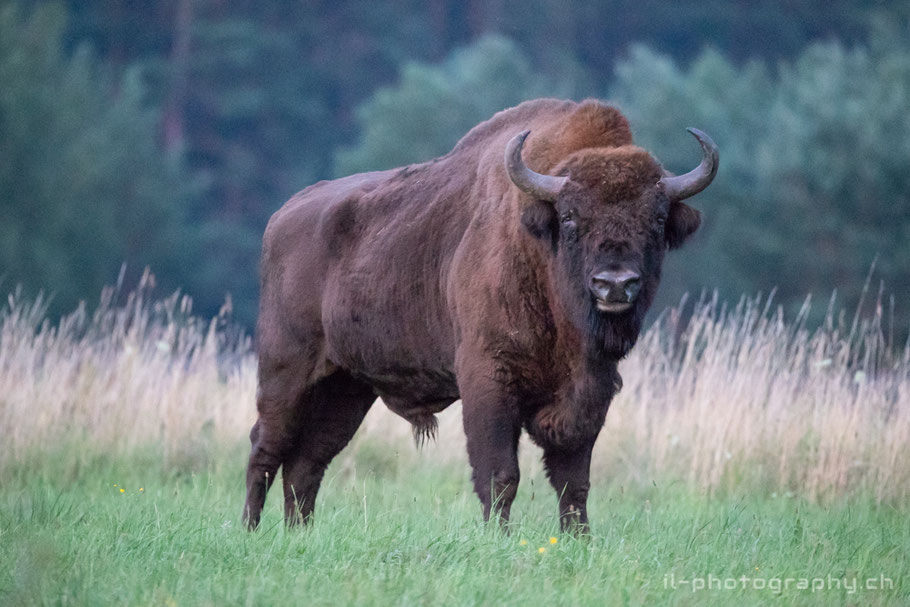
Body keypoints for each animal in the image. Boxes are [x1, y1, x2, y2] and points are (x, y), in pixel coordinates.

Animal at [242, 98, 720, 532]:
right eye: (569, 217)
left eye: (657, 218)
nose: (615, 284)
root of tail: (282, 217)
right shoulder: (488, 378)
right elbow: (500, 473)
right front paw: (498, 537)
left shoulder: (590, 393)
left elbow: (573, 480)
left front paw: (579, 538)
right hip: (285, 373)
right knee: (265, 447)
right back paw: (251, 530)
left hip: (347, 387)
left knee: (307, 461)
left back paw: (299, 532)